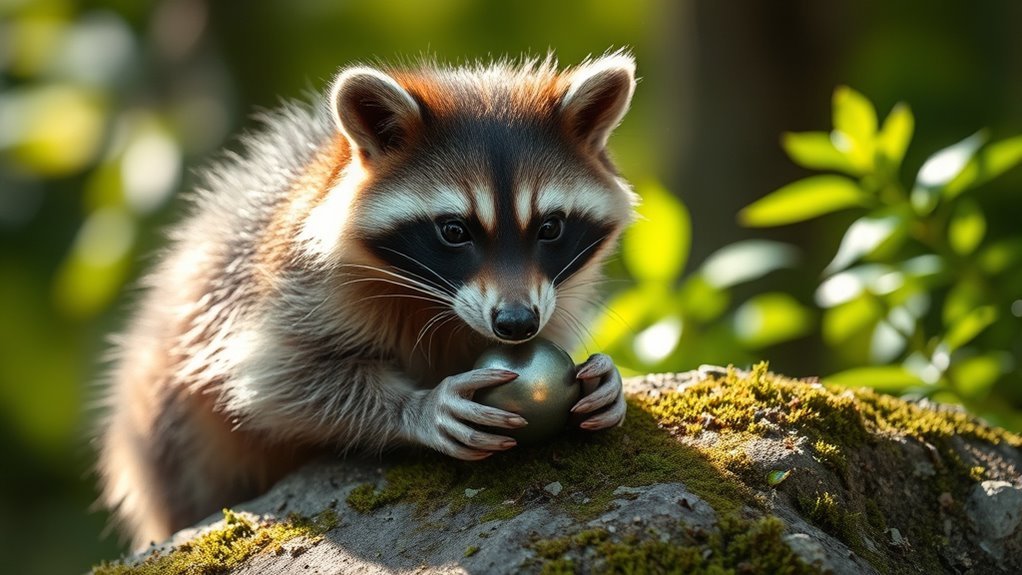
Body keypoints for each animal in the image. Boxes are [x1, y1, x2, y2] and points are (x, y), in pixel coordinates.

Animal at [98, 52, 638, 549]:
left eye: (550, 227)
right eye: (454, 231)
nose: (516, 323)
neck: (440, 306)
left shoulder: (556, 292)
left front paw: (608, 379)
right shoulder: (283, 286)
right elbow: (273, 378)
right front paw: (417, 407)